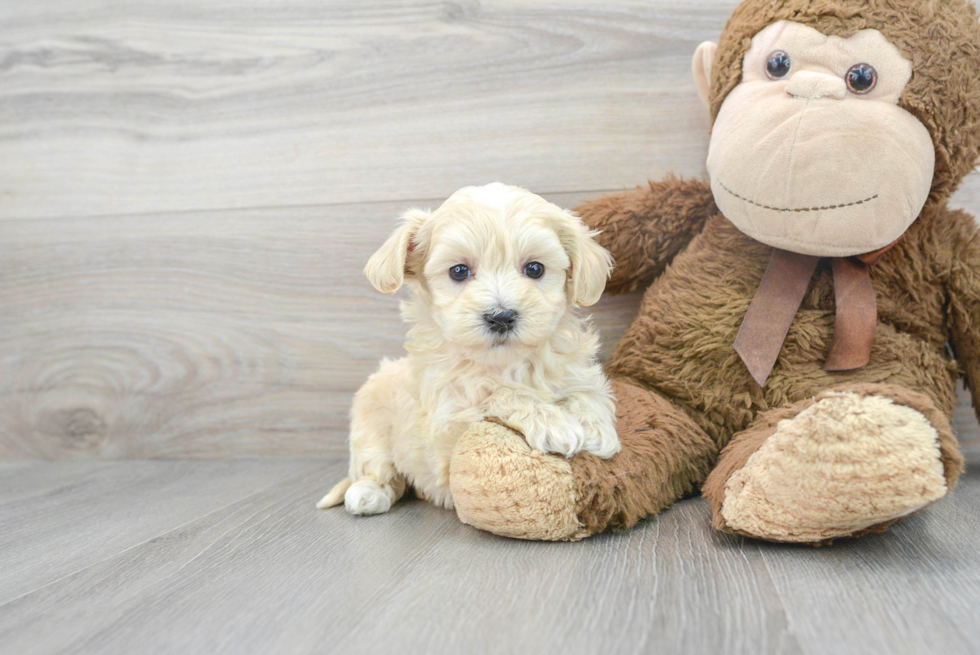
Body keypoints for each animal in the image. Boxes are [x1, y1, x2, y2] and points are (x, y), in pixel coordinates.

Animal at [318, 182, 616, 516]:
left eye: (535, 268)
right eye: (459, 271)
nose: (501, 317)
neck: (505, 363)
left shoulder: (574, 370)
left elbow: (587, 391)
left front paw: (597, 428)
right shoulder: (447, 427)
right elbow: (500, 395)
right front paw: (554, 423)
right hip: (370, 420)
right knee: (376, 467)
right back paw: (367, 494)